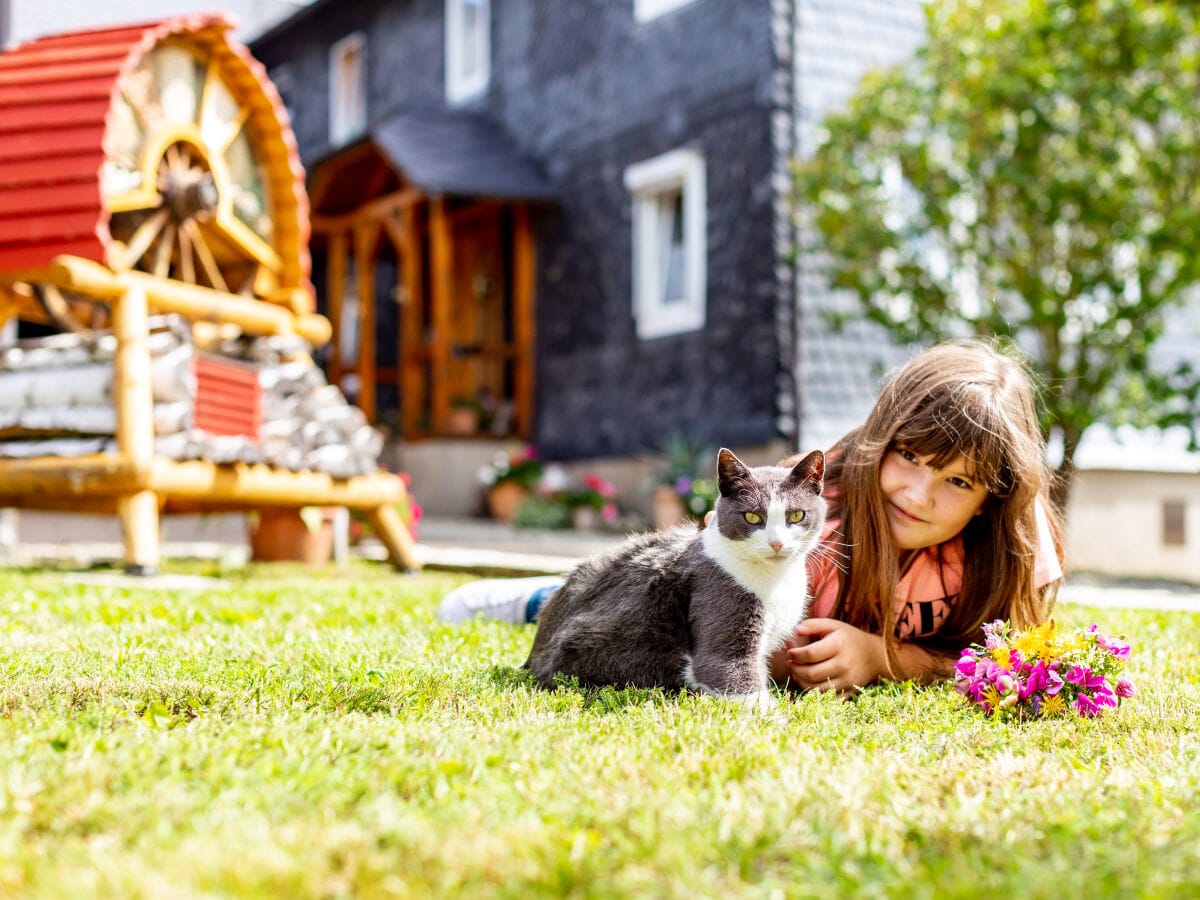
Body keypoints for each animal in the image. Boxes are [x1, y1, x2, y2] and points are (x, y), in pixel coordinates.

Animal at [525, 448, 825, 710]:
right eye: (752, 517)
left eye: (796, 515)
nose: (776, 543)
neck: (776, 579)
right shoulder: (718, 597)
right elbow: (729, 671)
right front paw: (773, 715)